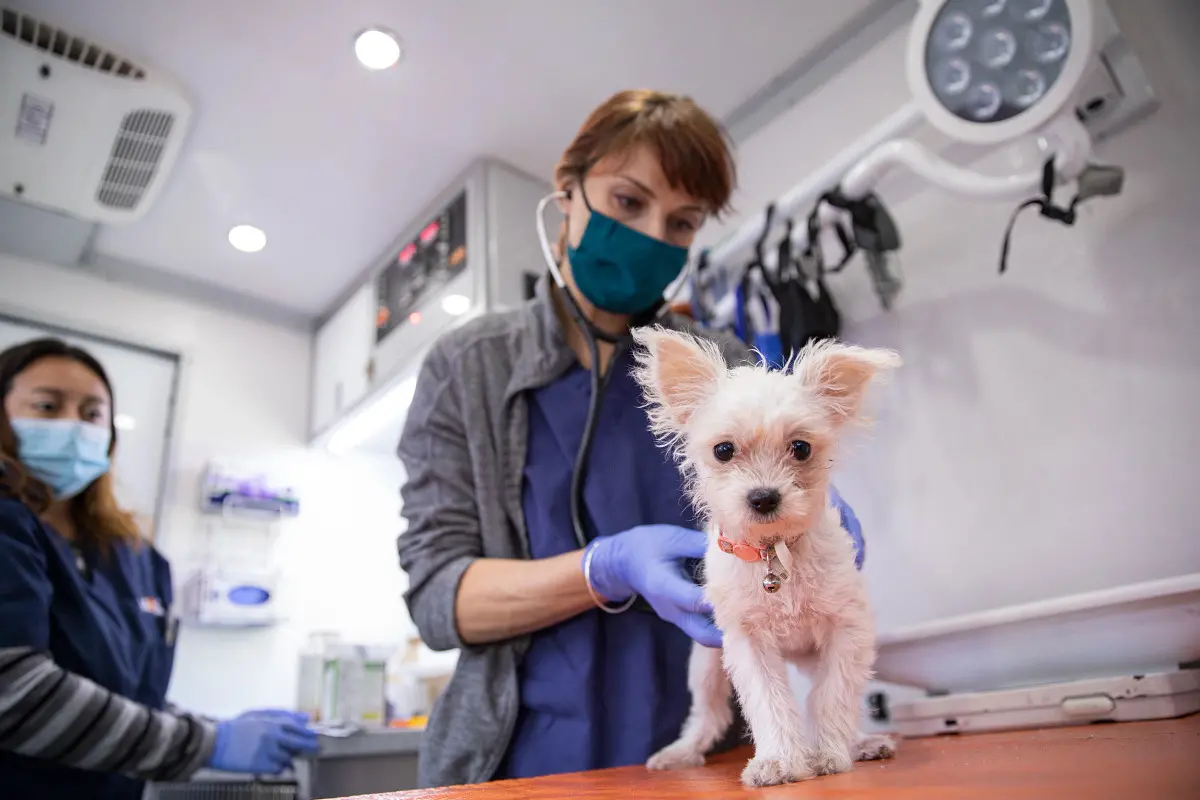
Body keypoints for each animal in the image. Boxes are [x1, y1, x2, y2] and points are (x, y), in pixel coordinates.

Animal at [628, 326, 902, 786]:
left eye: (801, 448)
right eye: (723, 450)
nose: (763, 497)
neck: (775, 553)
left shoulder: (848, 631)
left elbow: (832, 697)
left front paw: (828, 753)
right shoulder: (747, 643)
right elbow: (770, 704)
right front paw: (779, 761)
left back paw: (862, 742)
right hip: (706, 665)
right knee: (707, 715)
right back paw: (682, 752)